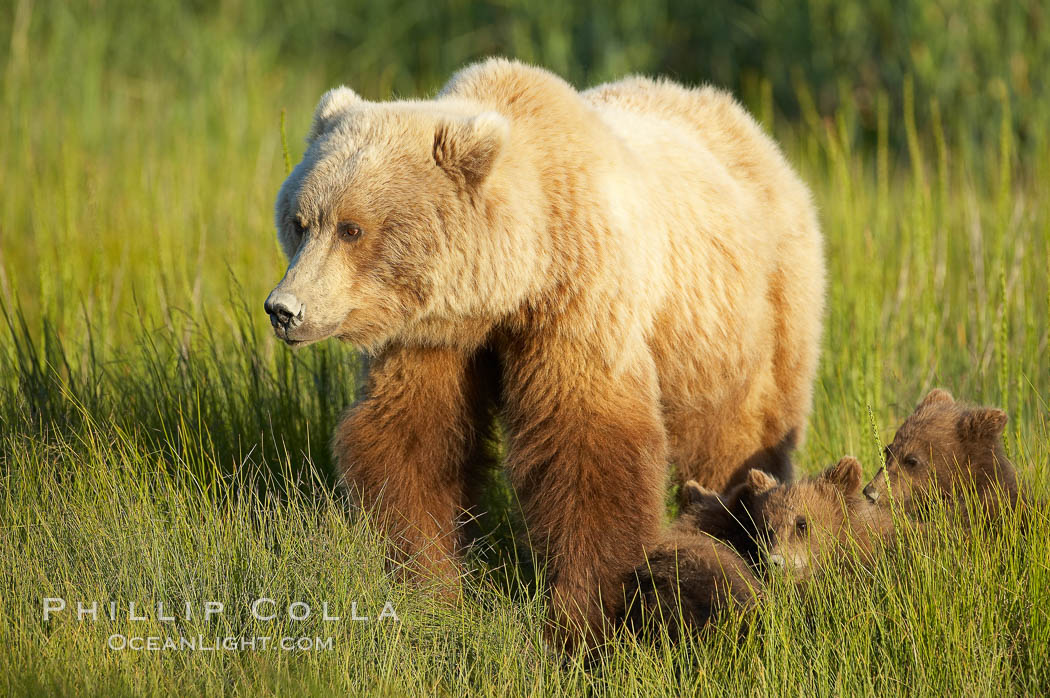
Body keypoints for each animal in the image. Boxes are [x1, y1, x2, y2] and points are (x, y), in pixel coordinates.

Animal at [266, 57, 823, 646]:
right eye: (300, 221)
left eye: (352, 228)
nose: (285, 309)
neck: (511, 282)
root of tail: (748, 126)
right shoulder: (431, 334)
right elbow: (415, 438)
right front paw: (430, 585)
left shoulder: (579, 303)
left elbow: (585, 446)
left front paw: (585, 617)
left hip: (744, 317)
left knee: (741, 434)